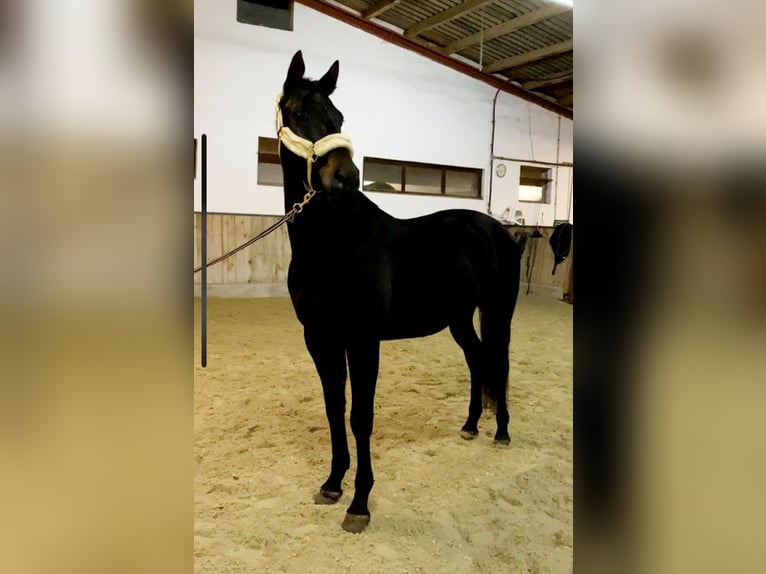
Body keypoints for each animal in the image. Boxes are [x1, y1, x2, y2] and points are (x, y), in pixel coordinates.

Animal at [276, 51, 520, 532]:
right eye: (297, 114)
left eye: (339, 117)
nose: (346, 176)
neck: (334, 244)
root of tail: (495, 229)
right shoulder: (320, 339)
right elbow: (334, 409)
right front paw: (332, 484)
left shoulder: (363, 340)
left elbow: (360, 417)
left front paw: (359, 504)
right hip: (460, 318)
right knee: (477, 359)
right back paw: (471, 425)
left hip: (498, 311)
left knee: (497, 362)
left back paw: (500, 431)